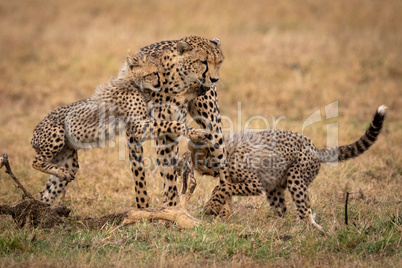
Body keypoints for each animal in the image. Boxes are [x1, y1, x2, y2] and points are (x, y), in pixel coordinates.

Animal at [185, 105, 386, 231]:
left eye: (205, 163)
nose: (211, 172)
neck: (227, 149)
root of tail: (315, 148)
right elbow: (223, 188)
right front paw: (215, 206)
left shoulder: (254, 183)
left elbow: (224, 187)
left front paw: (210, 205)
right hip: (274, 187)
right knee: (282, 209)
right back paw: (276, 224)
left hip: (296, 177)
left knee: (305, 210)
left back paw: (308, 228)